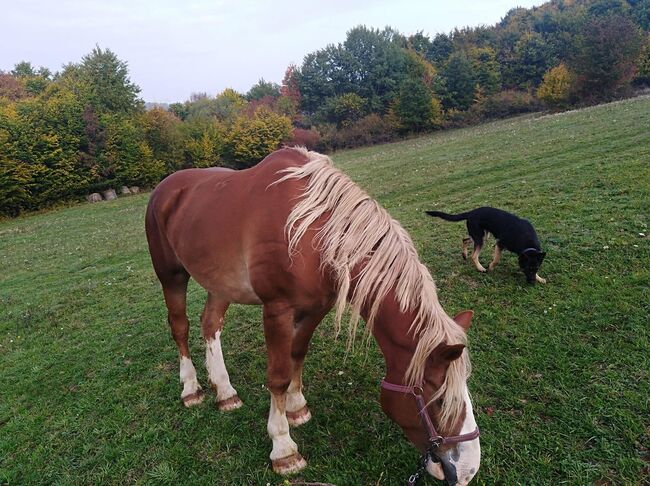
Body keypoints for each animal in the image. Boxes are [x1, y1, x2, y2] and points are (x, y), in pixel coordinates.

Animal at [147, 146, 480, 484]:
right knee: (180, 327)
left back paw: (225, 392)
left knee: (211, 324)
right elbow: (278, 376)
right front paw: (283, 448)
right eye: (439, 400)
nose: (468, 469)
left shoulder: (316, 308)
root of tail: (165, 188)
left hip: (220, 283)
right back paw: (191, 389)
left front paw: (296, 408)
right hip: (171, 276)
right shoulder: (277, 309)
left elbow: (298, 354)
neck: (312, 230)